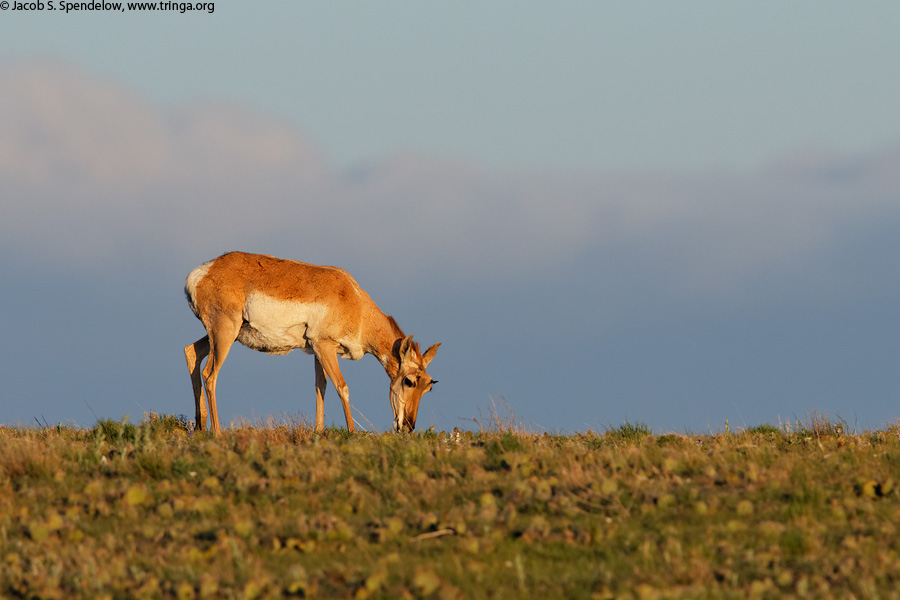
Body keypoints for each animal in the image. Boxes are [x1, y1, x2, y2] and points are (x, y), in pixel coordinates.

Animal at [184, 253, 440, 436]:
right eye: (409, 381)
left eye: (428, 386)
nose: (408, 427)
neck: (355, 301)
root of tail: (201, 272)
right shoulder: (325, 346)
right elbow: (342, 387)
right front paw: (352, 432)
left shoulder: (318, 351)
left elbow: (321, 387)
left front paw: (318, 431)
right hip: (225, 333)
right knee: (210, 374)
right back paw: (217, 432)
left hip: (225, 334)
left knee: (191, 352)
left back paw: (200, 425)